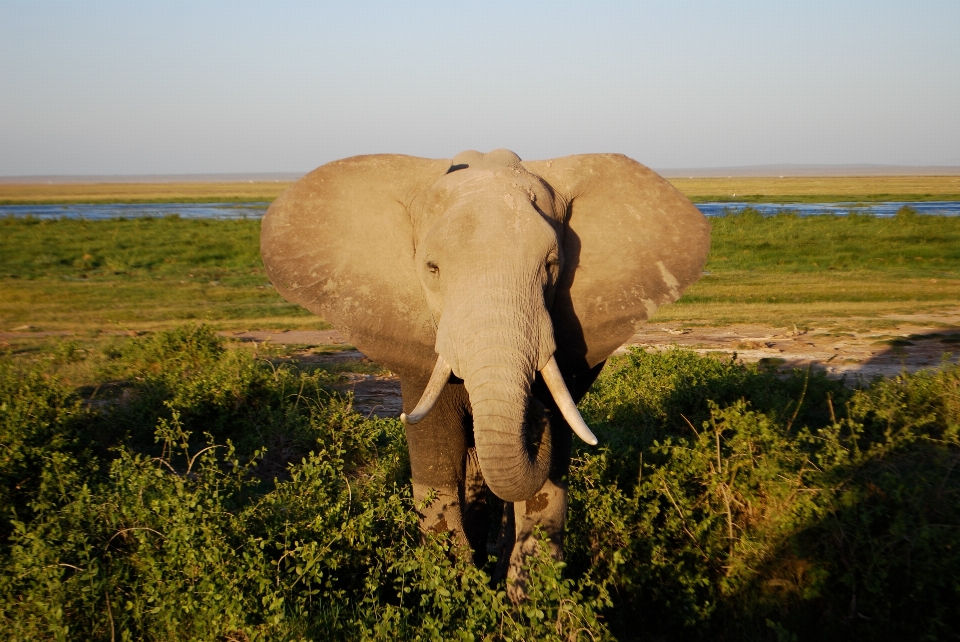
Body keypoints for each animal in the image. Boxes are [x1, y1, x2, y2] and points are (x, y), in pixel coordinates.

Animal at [258, 148, 708, 592]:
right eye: (432, 269)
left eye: (551, 266)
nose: (535, 412)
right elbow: (435, 455)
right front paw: (453, 590)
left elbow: (549, 475)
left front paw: (527, 600)